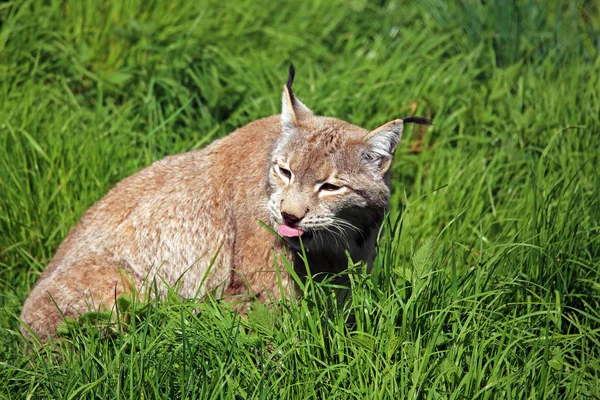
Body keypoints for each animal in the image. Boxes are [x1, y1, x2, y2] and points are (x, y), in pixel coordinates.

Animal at [18, 65, 432, 338]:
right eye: (285, 171)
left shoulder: (353, 261)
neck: (330, 240)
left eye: (330, 187)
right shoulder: (259, 269)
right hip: (123, 285)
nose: (289, 216)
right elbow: (280, 322)